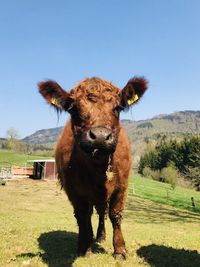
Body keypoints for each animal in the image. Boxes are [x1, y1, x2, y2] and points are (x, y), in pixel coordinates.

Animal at [38, 77, 148, 260]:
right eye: (74, 109)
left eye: (118, 108)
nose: (100, 137)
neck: (98, 169)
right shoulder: (74, 190)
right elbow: (83, 216)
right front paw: (84, 246)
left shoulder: (122, 186)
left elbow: (115, 214)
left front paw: (120, 250)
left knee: (102, 212)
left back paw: (101, 236)